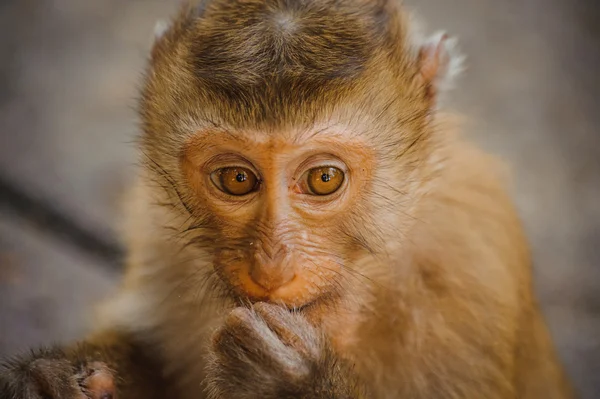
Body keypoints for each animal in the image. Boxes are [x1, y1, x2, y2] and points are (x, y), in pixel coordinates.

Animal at [0, 0, 576, 398]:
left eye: (323, 179)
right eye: (237, 179)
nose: (272, 264)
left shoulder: (471, 258)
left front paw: (291, 384)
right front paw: (49, 378)